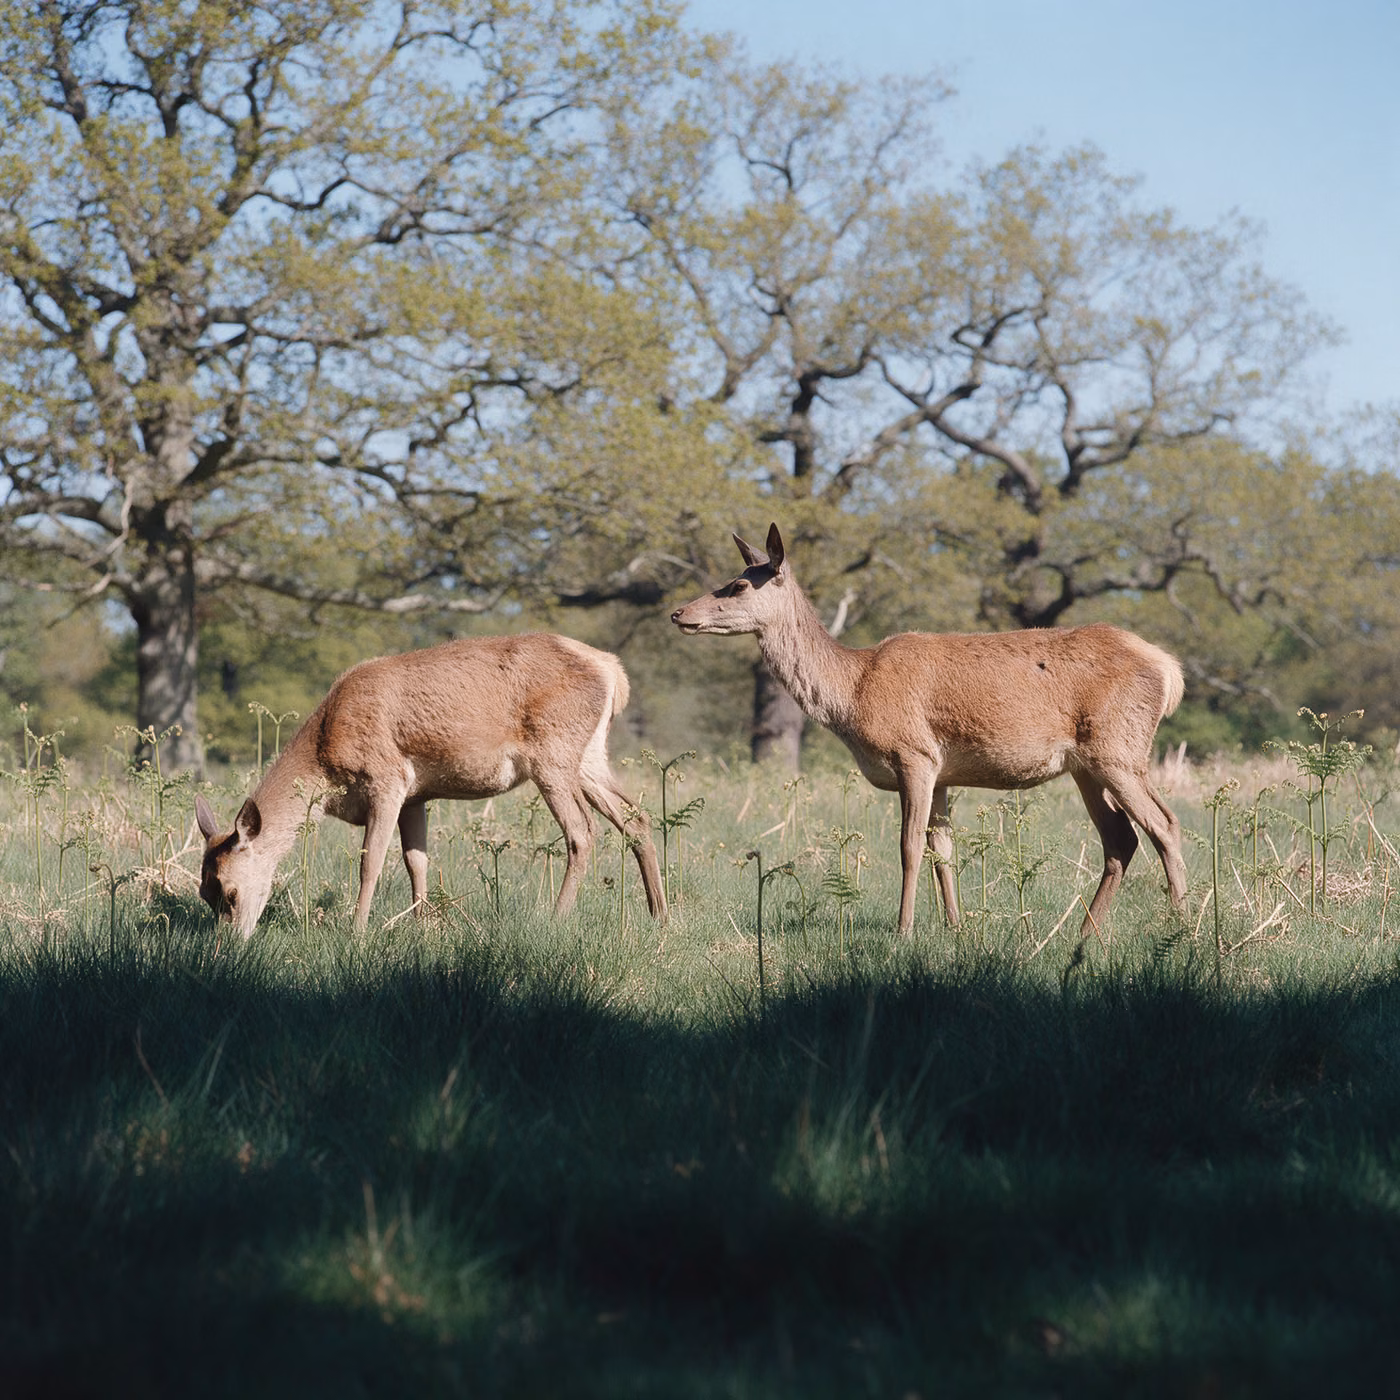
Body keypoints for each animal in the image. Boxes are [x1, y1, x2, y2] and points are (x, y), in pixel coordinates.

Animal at [194, 634, 667, 938]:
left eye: (230, 892)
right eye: (204, 892)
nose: (229, 943)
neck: (325, 762)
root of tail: (613, 672)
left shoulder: (387, 779)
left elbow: (371, 862)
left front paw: (357, 930)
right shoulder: (415, 795)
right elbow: (415, 860)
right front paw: (422, 924)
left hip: (552, 755)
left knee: (582, 831)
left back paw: (556, 919)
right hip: (589, 757)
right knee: (636, 817)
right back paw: (660, 916)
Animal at [671, 524, 1187, 936]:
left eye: (738, 584)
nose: (678, 613)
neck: (853, 692)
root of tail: (1170, 670)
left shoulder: (914, 754)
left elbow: (908, 847)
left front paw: (904, 930)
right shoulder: (941, 773)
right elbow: (943, 848)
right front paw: (955, 927)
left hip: (1118, 749)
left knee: (1164, 824)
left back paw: (1182, 926)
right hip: (1088, 765)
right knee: (1121, 838)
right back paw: (1085, 932)